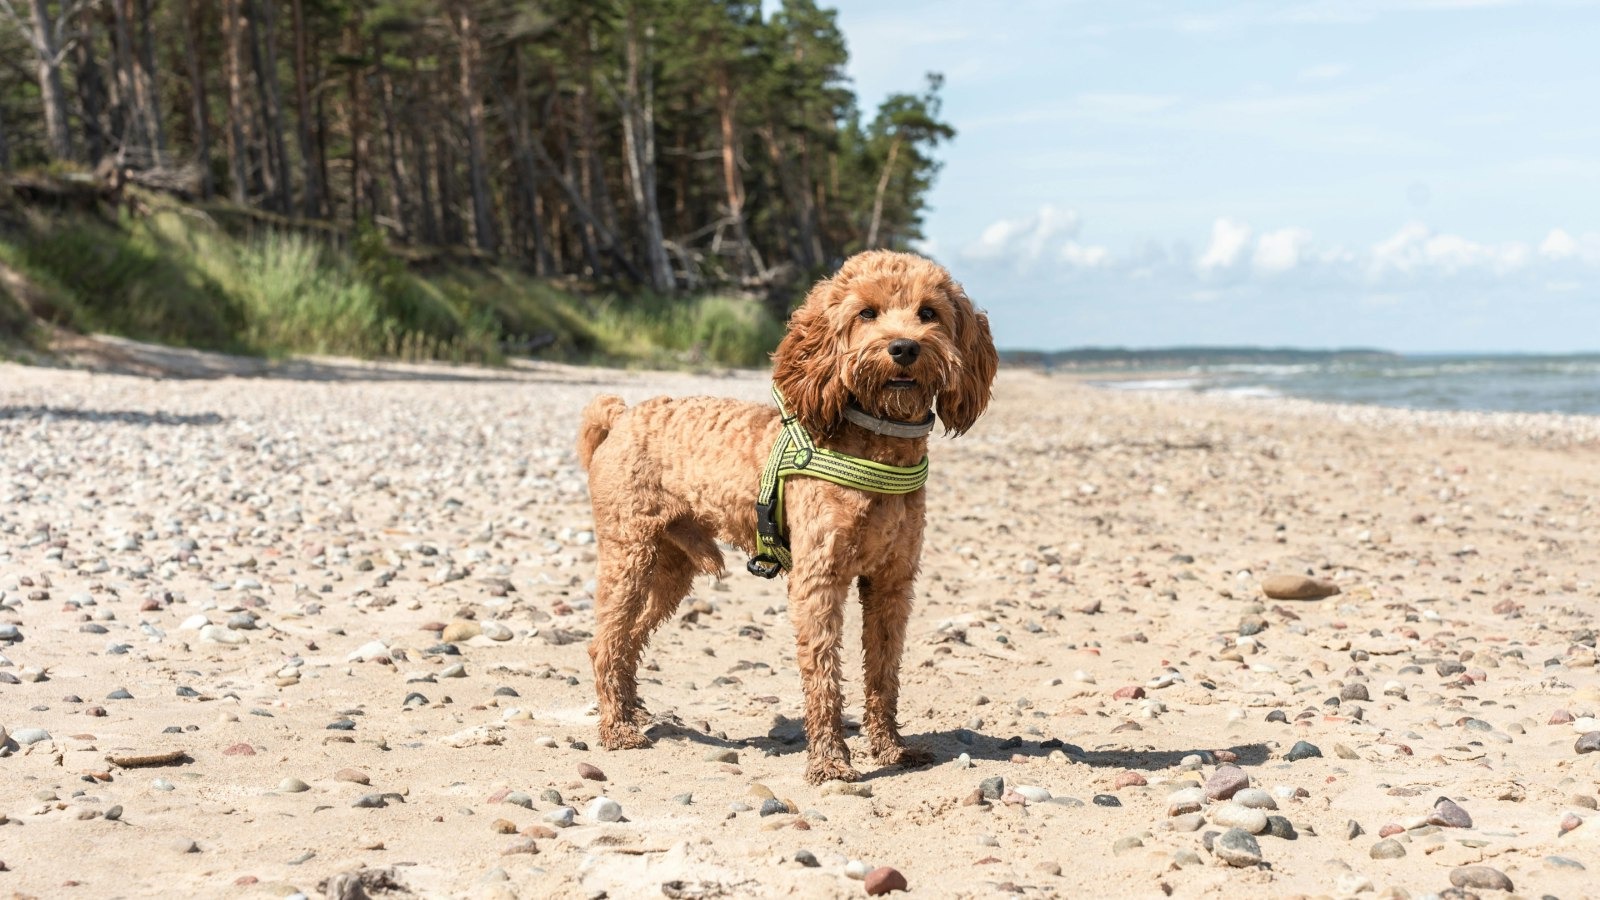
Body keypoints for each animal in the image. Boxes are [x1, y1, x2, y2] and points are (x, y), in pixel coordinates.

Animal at [576, 248, 998, 781]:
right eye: (866, 313)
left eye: (929, 313)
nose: (903, 348)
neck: (876, 445)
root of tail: (620, 417)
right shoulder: (819, 578)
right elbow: (823, 673)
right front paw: (830, 761)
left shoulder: (892, 582)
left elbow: (883, 674)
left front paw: (891, 750)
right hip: (628, 554)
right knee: (606, 640)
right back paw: (616, 729)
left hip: (673, 567)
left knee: (629, 640)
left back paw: (631, 711)